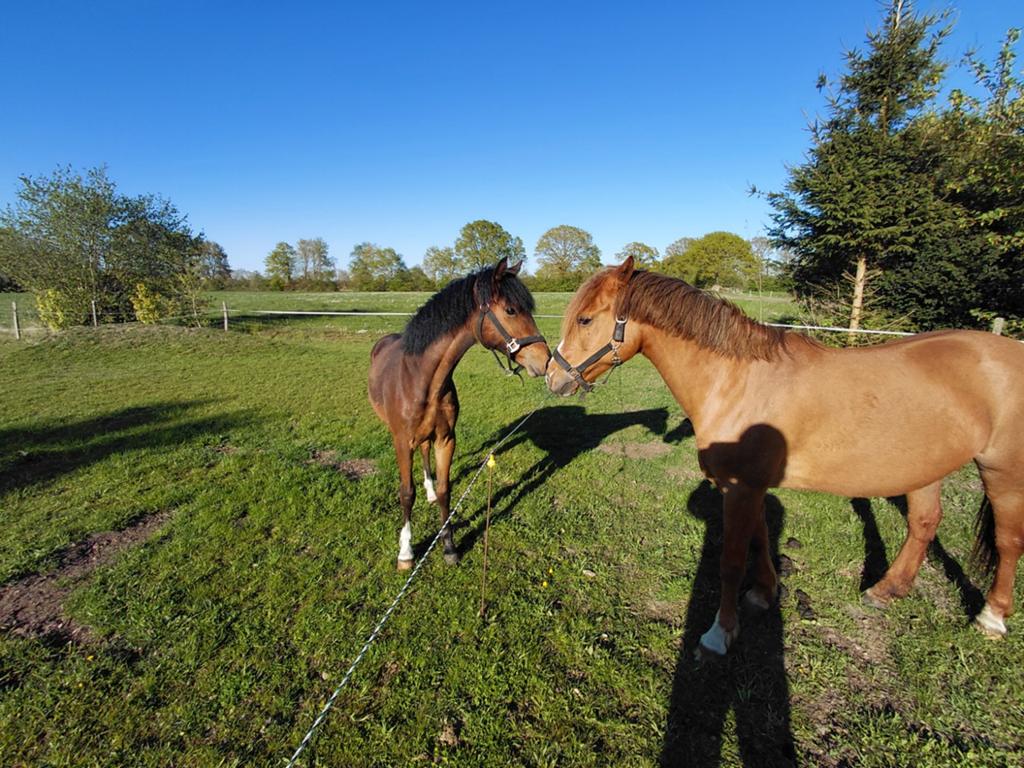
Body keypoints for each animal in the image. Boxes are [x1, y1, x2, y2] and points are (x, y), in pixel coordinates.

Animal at [369, 258, 550, 570]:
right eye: (511, 310)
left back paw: (429, 491)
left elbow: (445, 490)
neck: (421, 379)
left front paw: (449, 547)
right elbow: (406, 493)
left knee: (426, 454)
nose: (545, 359)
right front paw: (406, 553)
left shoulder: (446, 439)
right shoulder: (402, 441)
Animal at [547, 256, 1024, 654]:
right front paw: (763, 593)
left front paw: (720, 633)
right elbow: (760, 539)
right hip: (925, 465)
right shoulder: (751, 488)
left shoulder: (740, 489)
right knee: (924, 523)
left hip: (1002, 471)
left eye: (586, 319)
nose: (553, 377)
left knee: (1007, 540)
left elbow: (731, 561)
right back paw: (886, 591)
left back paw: (991, 619)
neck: (736, 380)